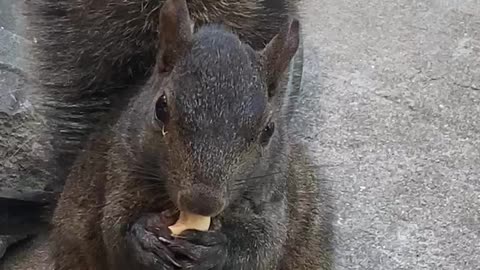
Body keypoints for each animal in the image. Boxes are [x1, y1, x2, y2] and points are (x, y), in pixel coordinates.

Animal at [47, 0, 334, 270]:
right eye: (160, 108)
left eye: (269, 130)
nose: (202, 202)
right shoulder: (121, 172)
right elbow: (115, 231)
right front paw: (144, 238)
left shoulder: (272, 198)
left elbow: (263, 246)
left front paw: (217, 249)